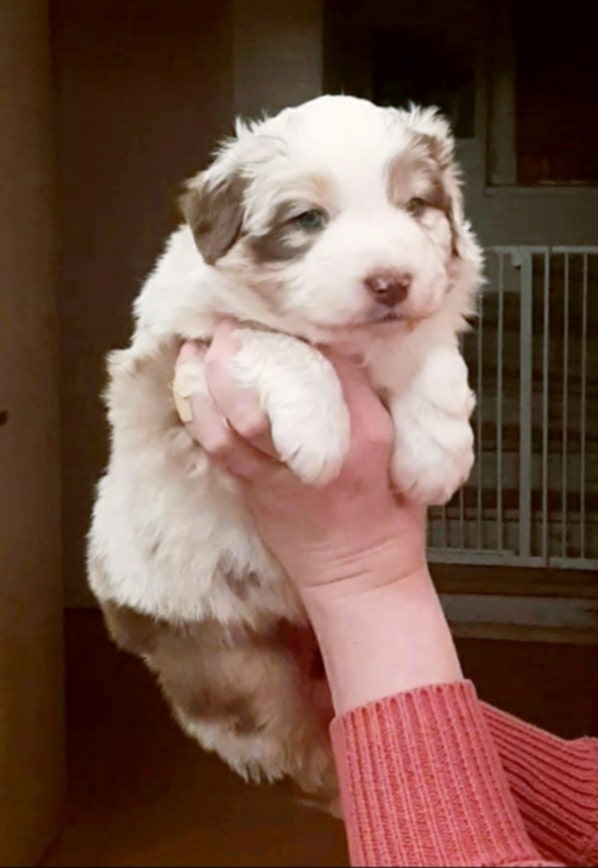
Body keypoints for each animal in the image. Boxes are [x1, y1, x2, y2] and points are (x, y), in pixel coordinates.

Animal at [87, 94, 482, 814]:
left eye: (415, 205)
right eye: (308, 219)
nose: (390, 282)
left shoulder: (427, 314)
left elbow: (430, 350)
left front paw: (438, 454)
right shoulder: (189, 340)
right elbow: (277, 340)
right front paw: (319, 435)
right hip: (236, 669)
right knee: (296, 752)